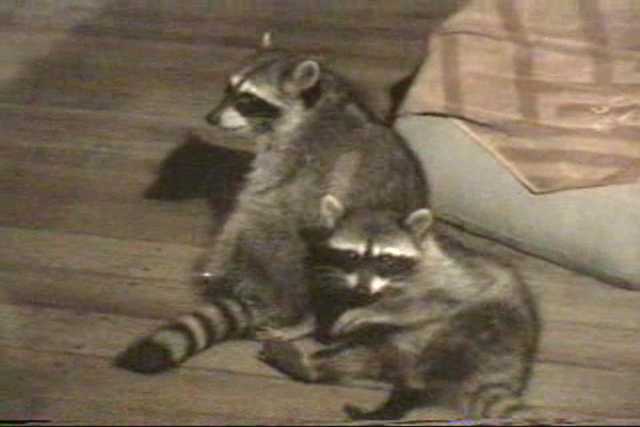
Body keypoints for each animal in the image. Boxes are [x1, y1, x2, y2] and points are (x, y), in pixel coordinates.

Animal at [115, 34, 428, 373]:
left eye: (248, 99)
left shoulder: (301, 156)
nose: (211, 117)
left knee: (263, 234)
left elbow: (261, 206)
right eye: (229, 89)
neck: (316, 99)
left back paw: (299, 313)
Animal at [260, 195, 540, 421]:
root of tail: (510, 372)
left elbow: (425, 303)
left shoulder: (447, 280)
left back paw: (398, 401)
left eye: (385, 258)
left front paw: (369, 312)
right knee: (372, 355)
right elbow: (327, 298)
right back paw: (310, 366)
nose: (363, 291)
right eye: (352, 255)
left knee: (431, 361)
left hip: (486, 331)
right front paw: (300, 326)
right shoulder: (338, 275)